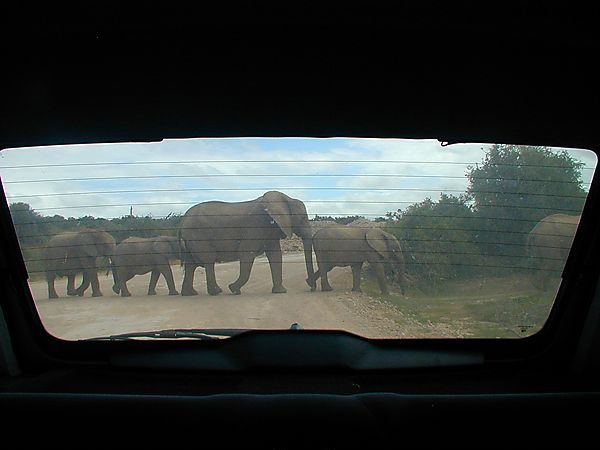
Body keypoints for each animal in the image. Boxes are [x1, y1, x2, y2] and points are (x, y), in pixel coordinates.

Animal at [178, 189, 316, 296]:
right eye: (302, 219)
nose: (310, 285)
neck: (287, 198)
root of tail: (182, 221)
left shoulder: (270, 230)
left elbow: (275, 255)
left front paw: (280, 292)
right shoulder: (254, 227)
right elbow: (246, 254)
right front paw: (233, 289)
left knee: (190, 264)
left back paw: (190, 293)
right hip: (198, 235)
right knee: (208, 260)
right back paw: (216, 292)